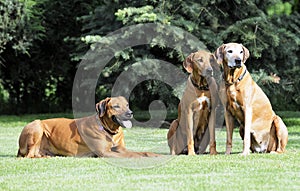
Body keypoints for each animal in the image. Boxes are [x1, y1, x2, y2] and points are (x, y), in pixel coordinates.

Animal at [17, 96, 159, 157]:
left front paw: (156, 155)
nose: (130, 113)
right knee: (30, 155)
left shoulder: (120, 149)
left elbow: (142, 152)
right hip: (37, 125)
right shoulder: (105, 152)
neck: (109, 130)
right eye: (116, 106)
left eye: (127, 105)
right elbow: (131, 156)